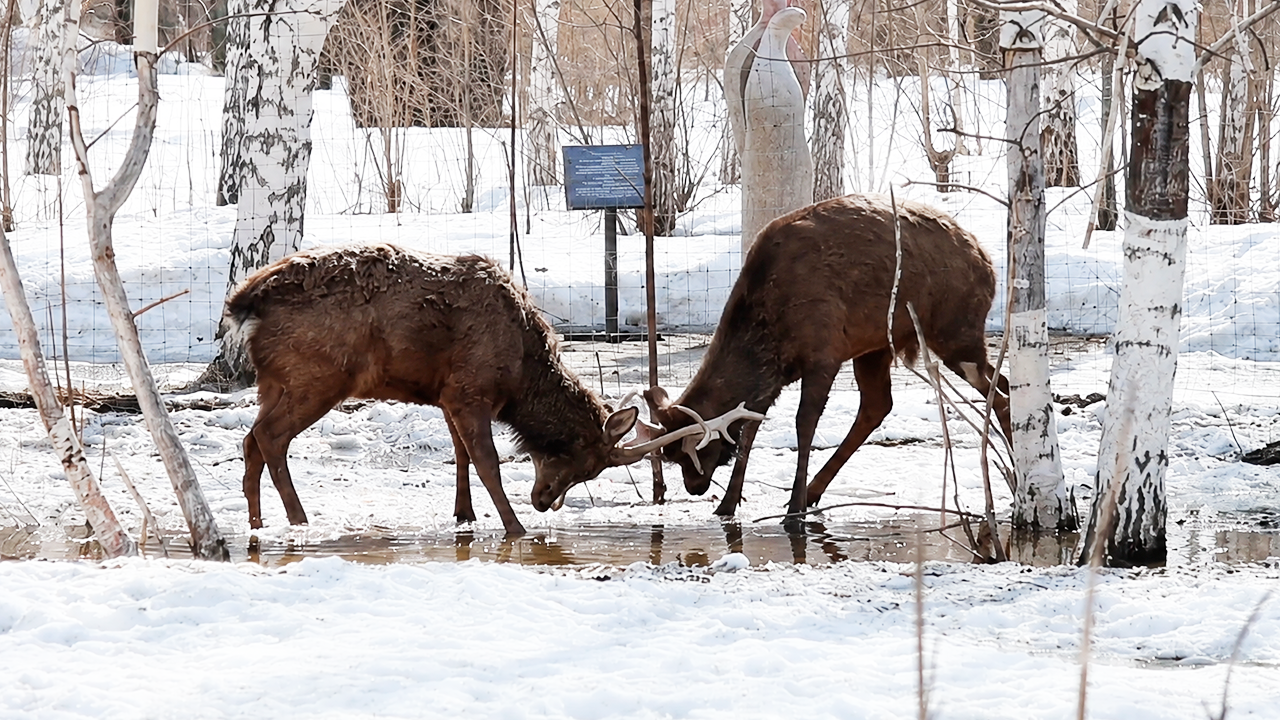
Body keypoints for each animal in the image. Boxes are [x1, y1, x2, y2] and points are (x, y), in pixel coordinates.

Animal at [223, 243, 746, 536]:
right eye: (584, 459)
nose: (544, 499)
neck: (519, 376)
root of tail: (244, 304)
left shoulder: (448, 394)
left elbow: (460, 455)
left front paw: (465, 516)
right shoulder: (470, 390)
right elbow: (488, 461)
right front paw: (514, 527)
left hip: (273, 380)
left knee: (250, 440)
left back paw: (256, 522)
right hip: (318, 375)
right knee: (270, 437)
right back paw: (299, 519)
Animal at [535, 194, 1011, 525]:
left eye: (691, 453)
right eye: (670, 457)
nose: (694, 487)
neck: (770, 335)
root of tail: (988, 262)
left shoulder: (823, 352)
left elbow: (803, 426)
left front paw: (792, 509)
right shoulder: (783, 376)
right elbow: (749, 430)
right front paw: (729, 504)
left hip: (955, 330)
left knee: (1000, 388)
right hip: (877, 346)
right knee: (879, 405)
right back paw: (818, 491)